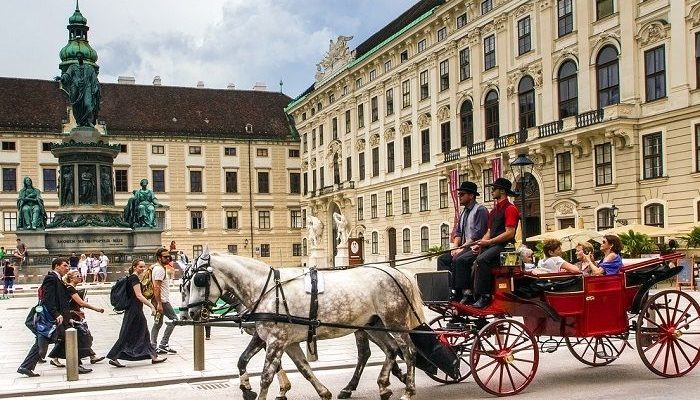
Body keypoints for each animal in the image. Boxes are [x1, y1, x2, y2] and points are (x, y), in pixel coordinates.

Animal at [180, 248, 424, 398]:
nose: (189, 313)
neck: (266, 289)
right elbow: (301, 368)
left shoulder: (276, 341)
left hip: (394, 321)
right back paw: (382, 385)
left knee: (408, 351)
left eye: (198, 280)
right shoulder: (281, 340)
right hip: (373, 324)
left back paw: (408, 390)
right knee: (390, 350)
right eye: (184, 285)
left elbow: (266, 376)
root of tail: (396, 272)